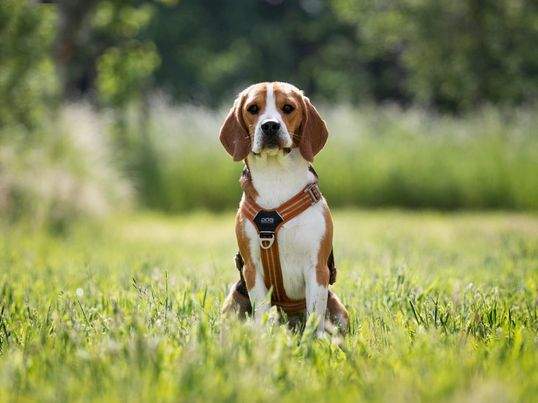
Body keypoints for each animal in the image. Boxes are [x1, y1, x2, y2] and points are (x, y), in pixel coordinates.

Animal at [219, 82, 348, 338]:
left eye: (288, 108)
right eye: (253, 108)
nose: (269, 125)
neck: (276, 176)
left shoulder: (317, 268)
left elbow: (315, 313)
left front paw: (315, 340)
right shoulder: (252, 270)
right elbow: (261, 310)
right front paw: (262, 338)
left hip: (340, 311)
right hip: (232, 304)